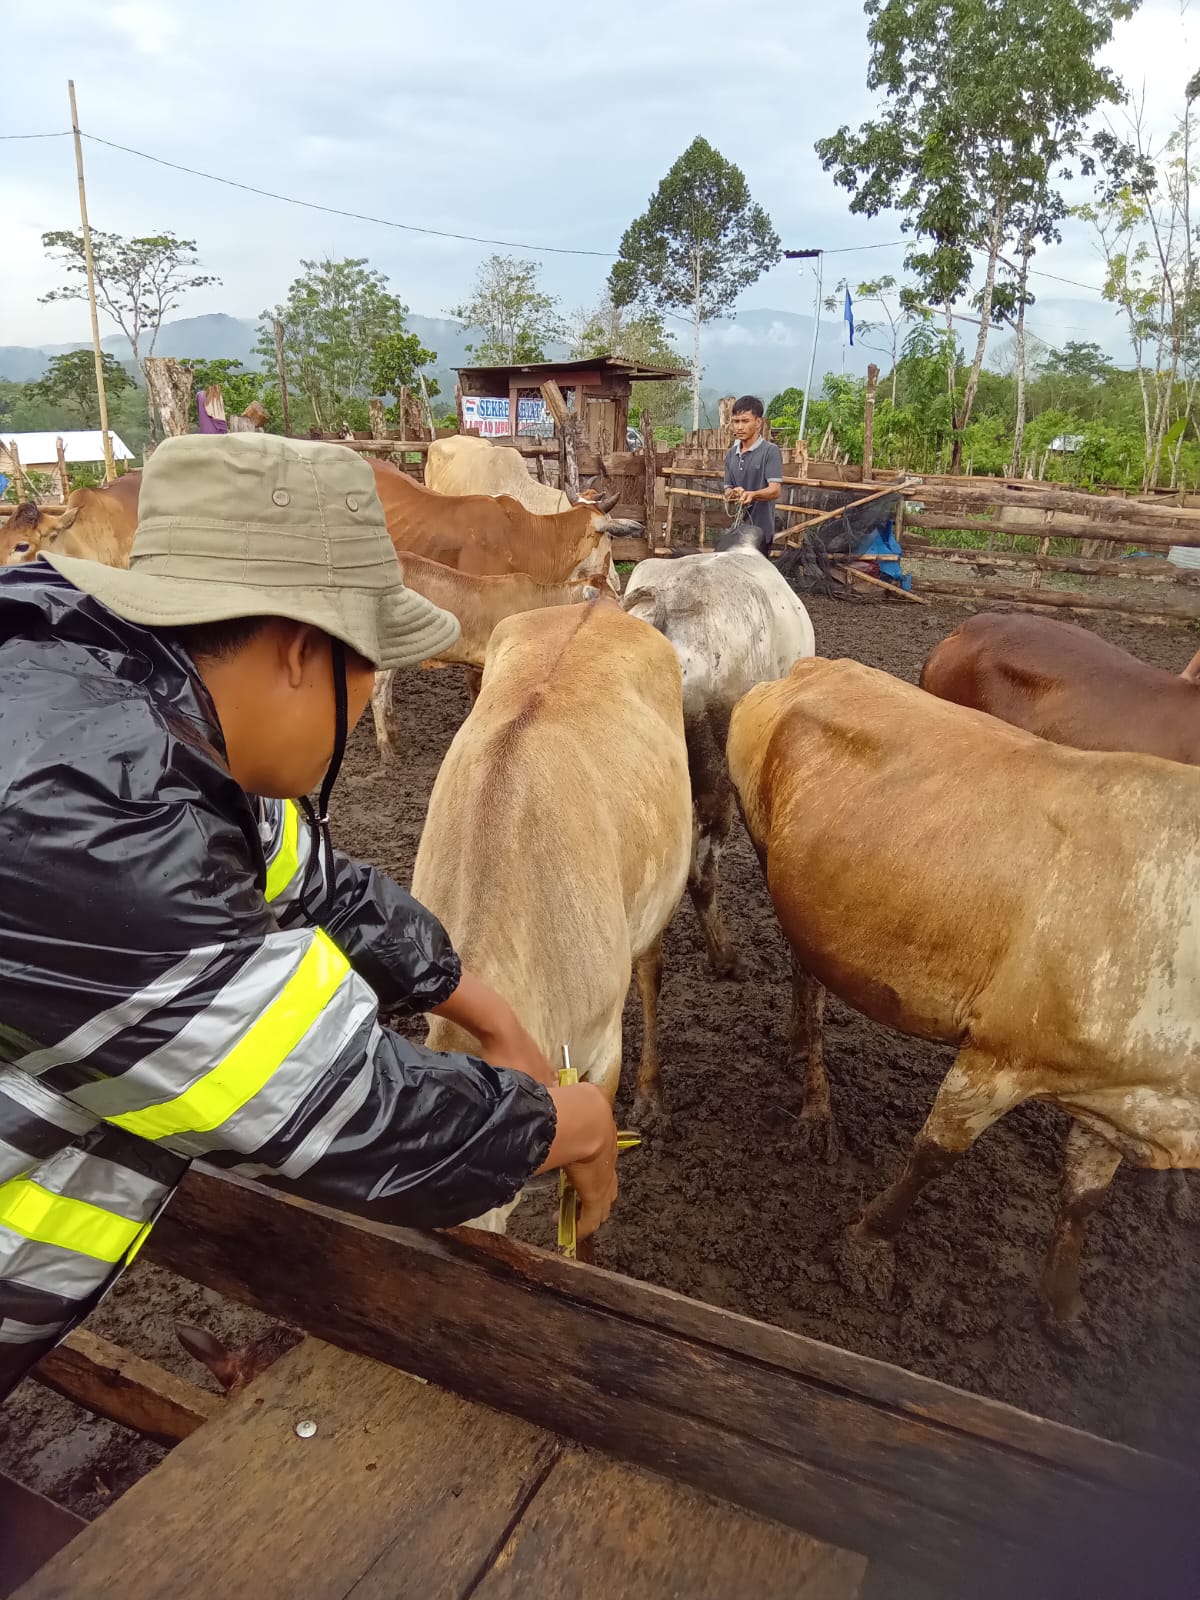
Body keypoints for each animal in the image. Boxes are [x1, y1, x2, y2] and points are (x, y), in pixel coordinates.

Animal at [729, 656, 1200, 1331]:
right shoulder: (998, 1058)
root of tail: (815, 665)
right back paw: (815, 1100)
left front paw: (1063, 1305)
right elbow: (933, 1156)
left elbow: (1084, 1196)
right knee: (808, 979)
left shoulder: (1115, 1088)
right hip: (763, 842)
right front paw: (868, 1244)